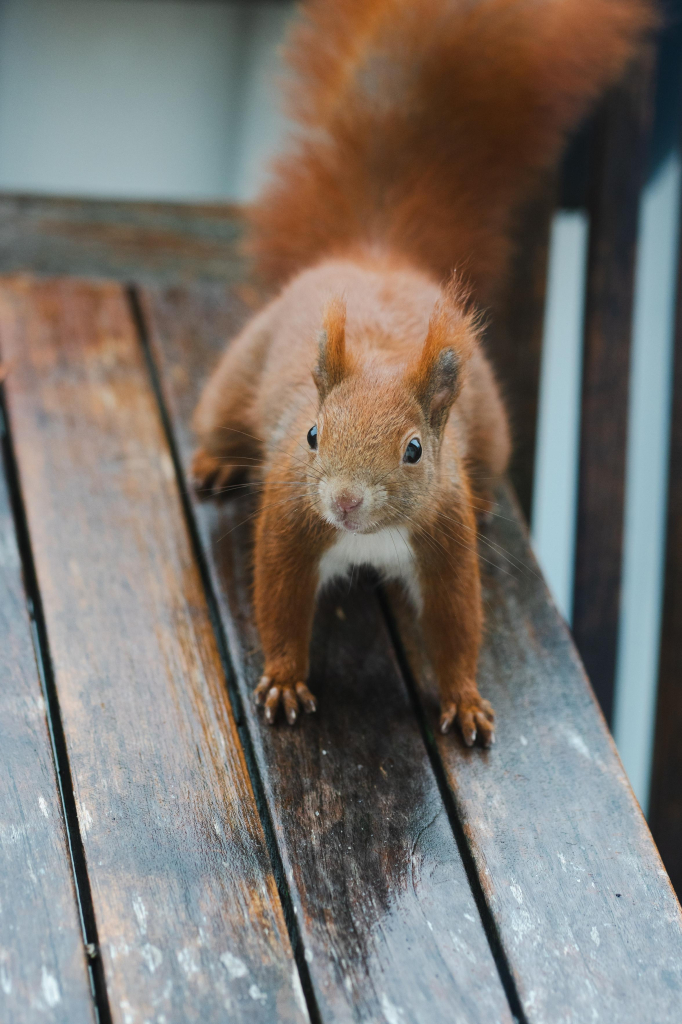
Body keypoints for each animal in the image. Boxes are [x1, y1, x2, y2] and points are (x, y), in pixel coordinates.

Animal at [191, 0, 647, 741]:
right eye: (312, 435)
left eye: (413, 450)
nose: (345, 500)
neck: (367, 539)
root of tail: (374, 257)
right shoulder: (290, 515)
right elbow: (280, 601)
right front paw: (285, 679)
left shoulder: (446, 534)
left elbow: (457, 621)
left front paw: (464, 698)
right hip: (237, 375)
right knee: (221, 419)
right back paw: (216, 461)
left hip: (492, 436)